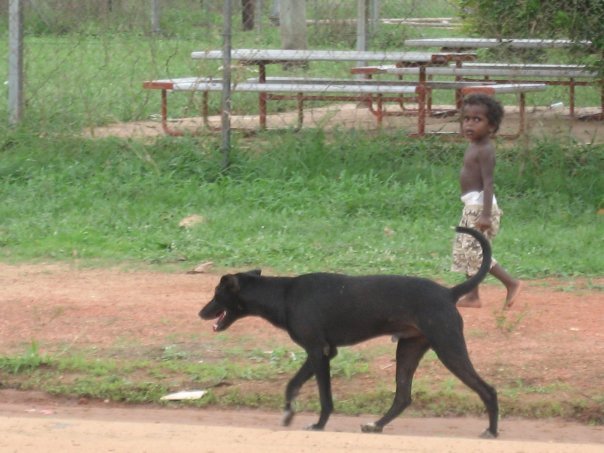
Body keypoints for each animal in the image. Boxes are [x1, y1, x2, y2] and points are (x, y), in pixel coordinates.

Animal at [201, 228, 498, 436]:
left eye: (216, 293)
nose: (201, 313)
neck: (283, 295)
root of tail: (449, 293)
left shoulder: (318, 352)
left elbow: (325, 397)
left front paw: (318, 425)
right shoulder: (323, 352)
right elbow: (292, 384)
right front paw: (288, 413)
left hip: (448, 347)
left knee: (488, 389)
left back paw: (492, 430)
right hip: (409, 349)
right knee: (403, 396)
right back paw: (376, 425)